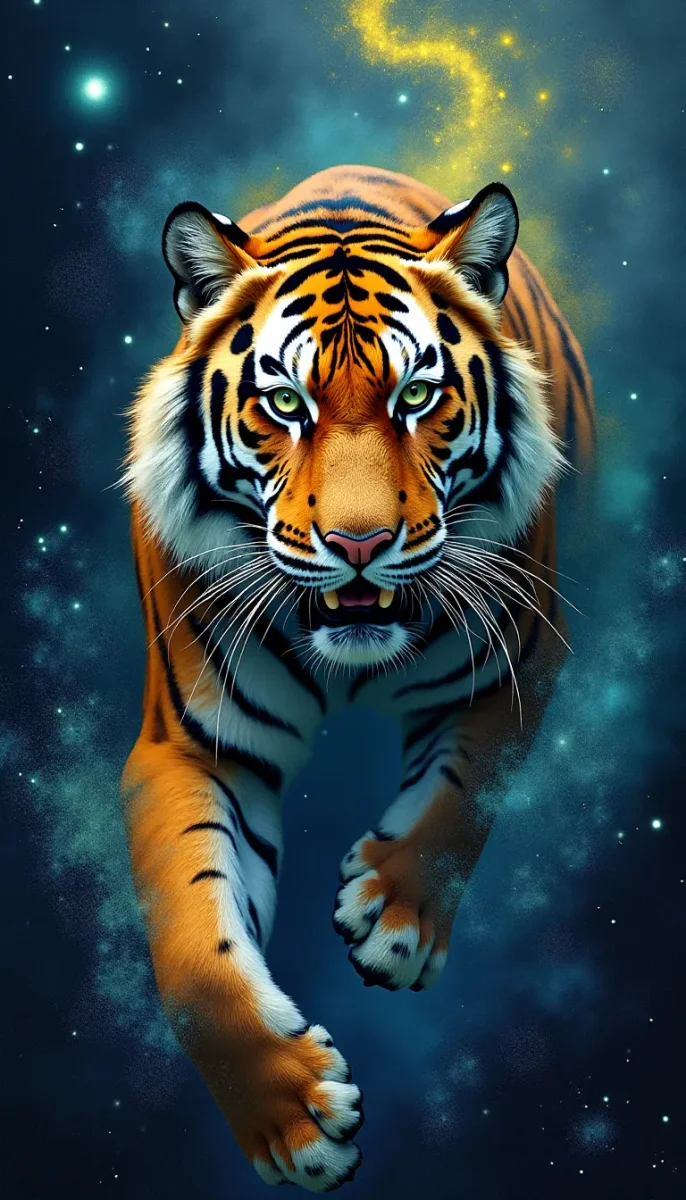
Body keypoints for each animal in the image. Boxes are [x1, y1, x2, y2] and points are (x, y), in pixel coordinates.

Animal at [121, 163, 595, 1192]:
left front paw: (395, 920)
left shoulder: (519, 669)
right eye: (285, 405)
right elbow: (195, 955)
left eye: (417, 394)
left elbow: (462, 796)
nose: (360, 543)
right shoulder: (190, 745)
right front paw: (297, 1121)